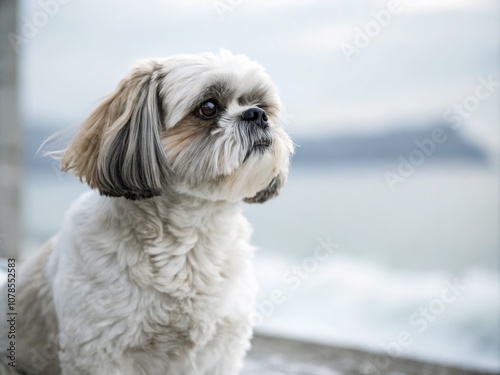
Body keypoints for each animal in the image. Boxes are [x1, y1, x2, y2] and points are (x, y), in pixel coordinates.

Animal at [0, 50, 292, 375]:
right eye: (208, 107)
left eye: (262, 105)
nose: (257, 115)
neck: (190, 240)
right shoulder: (99, 349)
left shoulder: (221, 349)